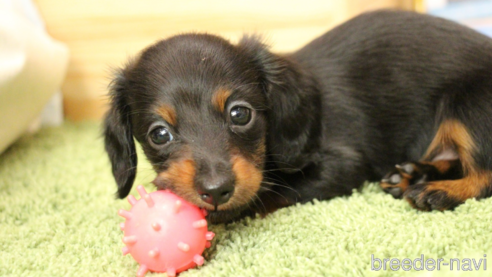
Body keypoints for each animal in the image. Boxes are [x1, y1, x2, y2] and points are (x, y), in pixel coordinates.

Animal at [103, 9, 492, 223]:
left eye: (240, 114)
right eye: (159, 134)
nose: (216, 191)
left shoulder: (344, 165)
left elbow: (273, 189)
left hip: (468, 106)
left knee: (483, 176)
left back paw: (438, 191)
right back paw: (414, 174)